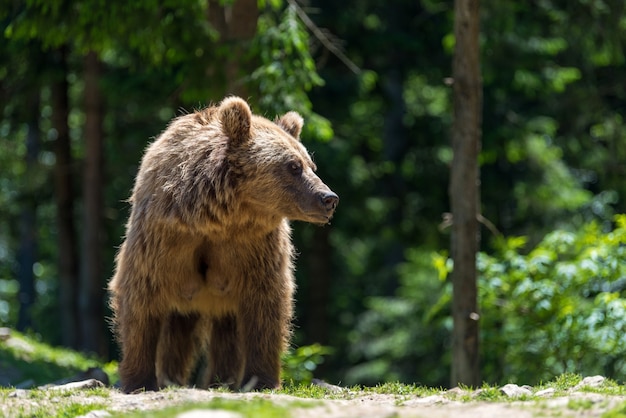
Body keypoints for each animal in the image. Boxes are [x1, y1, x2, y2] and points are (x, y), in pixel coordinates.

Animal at [109, 96, 338, 394]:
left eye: (311, 165)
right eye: (293, 166)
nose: (329, 198)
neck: (218, 219)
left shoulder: (254, 248)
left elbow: (266, 308)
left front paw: (261, 380)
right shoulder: (163, 239)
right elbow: (141, 302)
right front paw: (139, 381)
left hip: (223, 301)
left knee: (225, 335)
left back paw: (221, 381)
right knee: (176, 334)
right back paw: (173, 378)